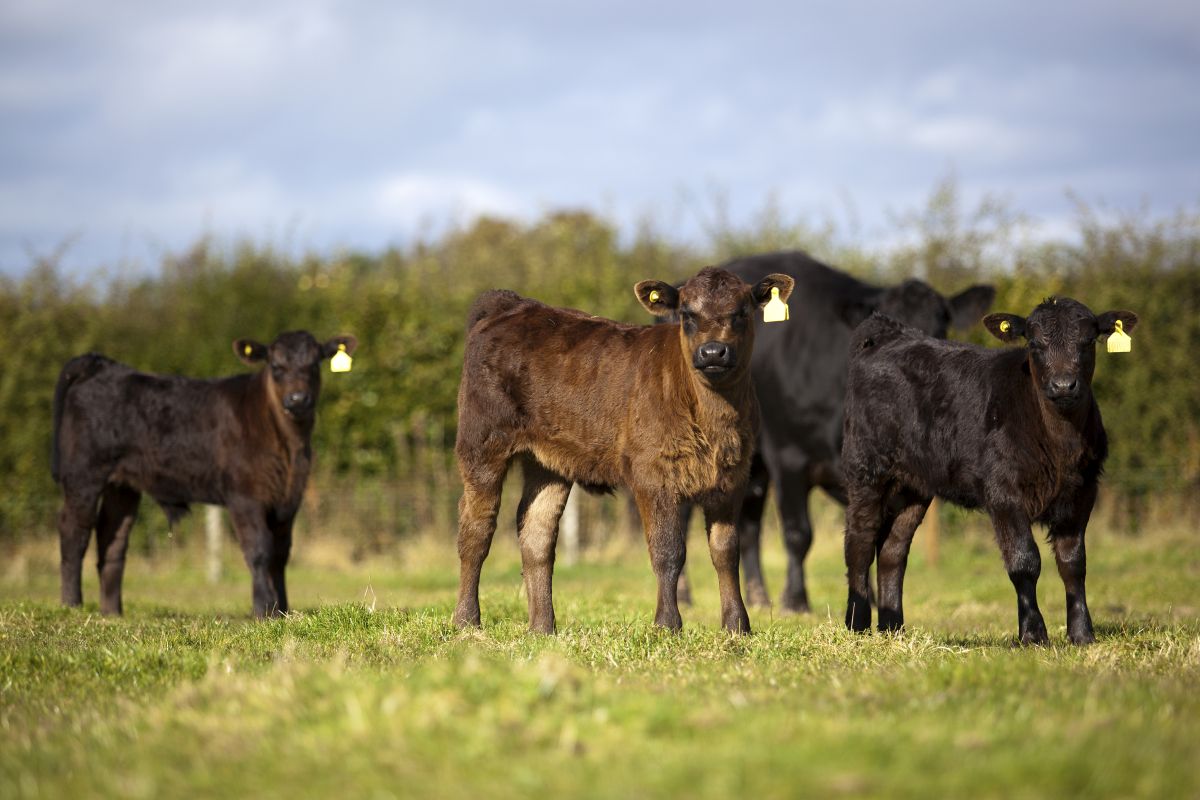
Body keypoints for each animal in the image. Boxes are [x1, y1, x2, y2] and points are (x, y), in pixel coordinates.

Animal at [51, 331, 357, 618]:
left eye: (314, 364)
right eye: (275, 365)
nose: (297, 399)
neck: (289, 446)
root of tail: (103, 365)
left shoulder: (290, 497)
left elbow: (280, 554)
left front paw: (282, 609)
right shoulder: (244, 495)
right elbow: (259, 550)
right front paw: (263, 609)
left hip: (123, 484)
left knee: (112, 537)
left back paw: (112, 612)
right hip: (84, 474)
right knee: (74, 531)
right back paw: (71, 604)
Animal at [452, 267, 794, 635]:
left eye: (742, 312)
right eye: (687, 314)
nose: (713, 352)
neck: (714, 417)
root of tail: (510, 304)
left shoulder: (734, 476)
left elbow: (726, 551)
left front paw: (737, 625)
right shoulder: (652, 474)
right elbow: (668, 551)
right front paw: (667, 624)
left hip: (548, 461)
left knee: (536, 533)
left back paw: (542, 627)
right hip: (481, 442)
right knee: (476, 529)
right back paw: (467, 620)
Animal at [679, 251, 994, 611]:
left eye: (939, 331)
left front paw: (869, 599)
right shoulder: (788, 456)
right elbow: (798, 533)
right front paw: (795, 601)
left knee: (748, 522)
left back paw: (759, 596)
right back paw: (685, 595)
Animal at [841, 298, 1137, 644]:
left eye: (1088, 341)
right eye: (1034, 344)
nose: (1063, 385)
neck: (1060, 442)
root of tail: (889, 334)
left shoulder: (1083, 491)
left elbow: (1073, 562)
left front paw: (1081, 634)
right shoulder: (1003, 492)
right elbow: (1024, 560)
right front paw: (1033, 634)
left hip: (913, 484)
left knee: (893, 549)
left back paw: (893, 630)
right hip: (867, 470)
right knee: (860, 540)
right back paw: (857, 624)